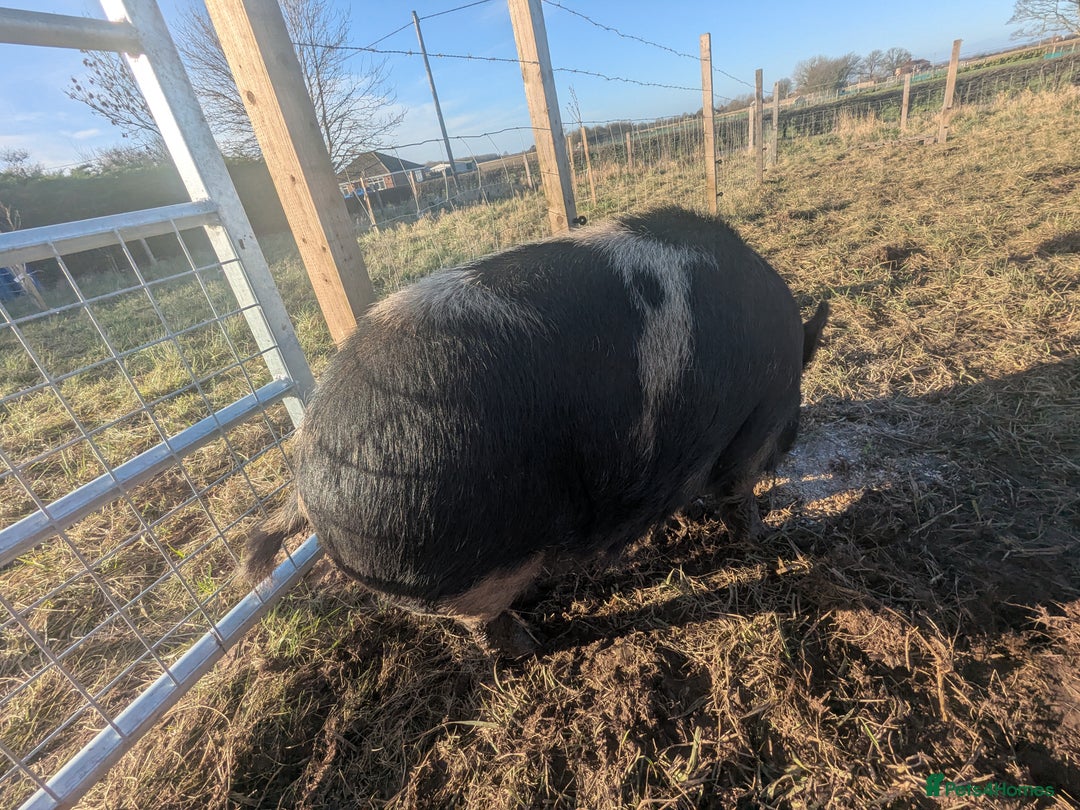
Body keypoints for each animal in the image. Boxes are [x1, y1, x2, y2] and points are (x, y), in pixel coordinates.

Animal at [245, 206, 828, 655]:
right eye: (795, 407)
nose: (792, 441)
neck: (787, 361)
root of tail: (305, 474)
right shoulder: (754, 427)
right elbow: (737, 493)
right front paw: (765, 537)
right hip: (468, 568)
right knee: (483, 623)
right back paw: (532, 643)